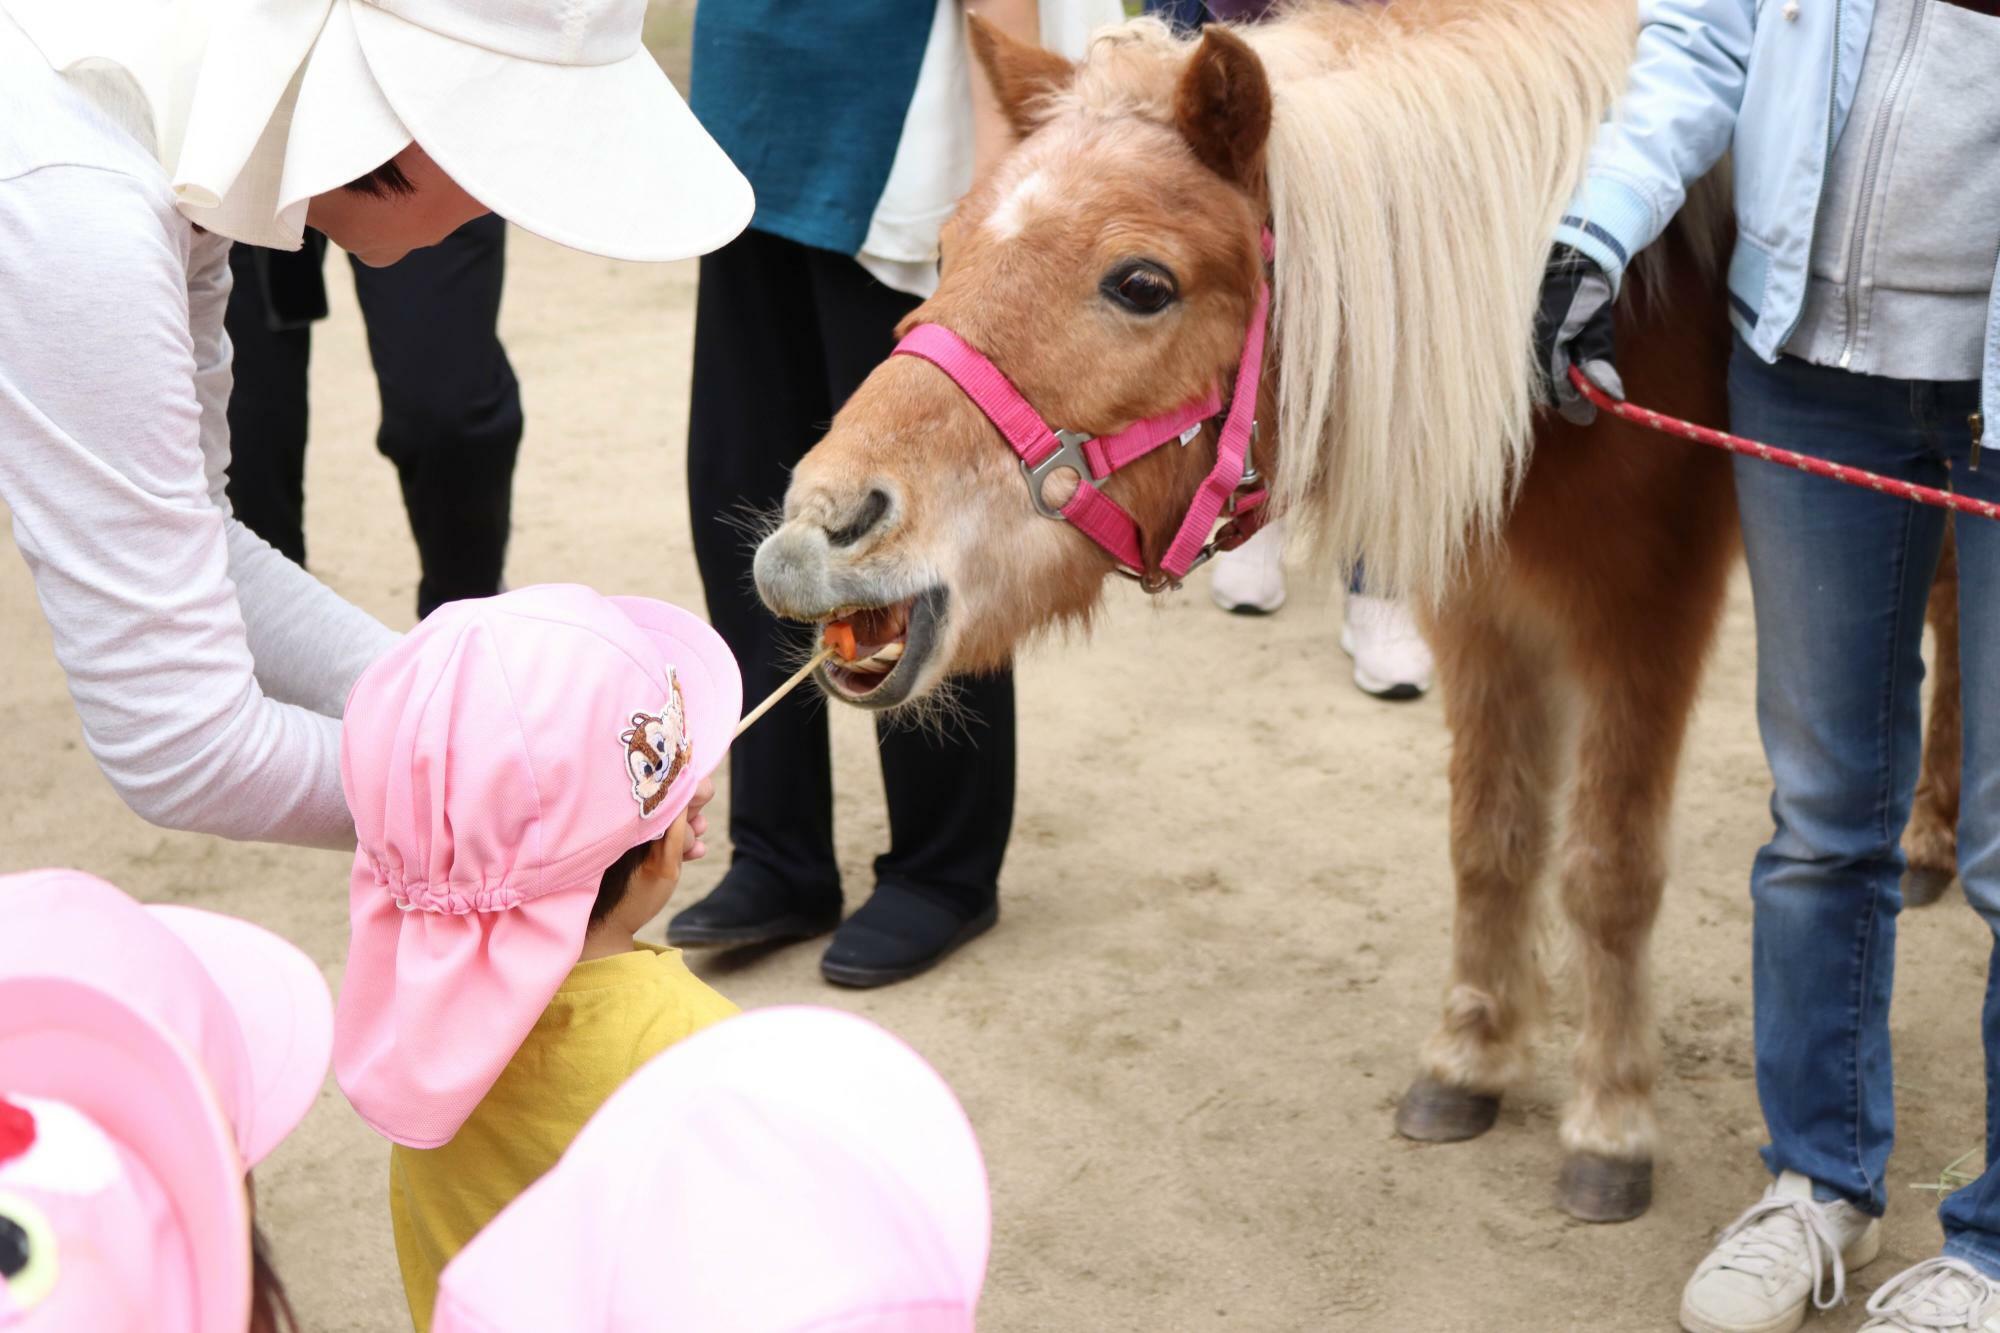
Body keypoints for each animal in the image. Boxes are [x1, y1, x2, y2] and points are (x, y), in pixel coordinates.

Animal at [748, 0, 1936, 1216]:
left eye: (1140, 284)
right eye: (943, 254)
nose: (818, 530)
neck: (1571, 332)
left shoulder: (1643, 616)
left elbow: (1606, 871)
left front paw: (1610, 1124)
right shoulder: (1482, 610)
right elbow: (1490, 837)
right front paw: (1468, 1059)